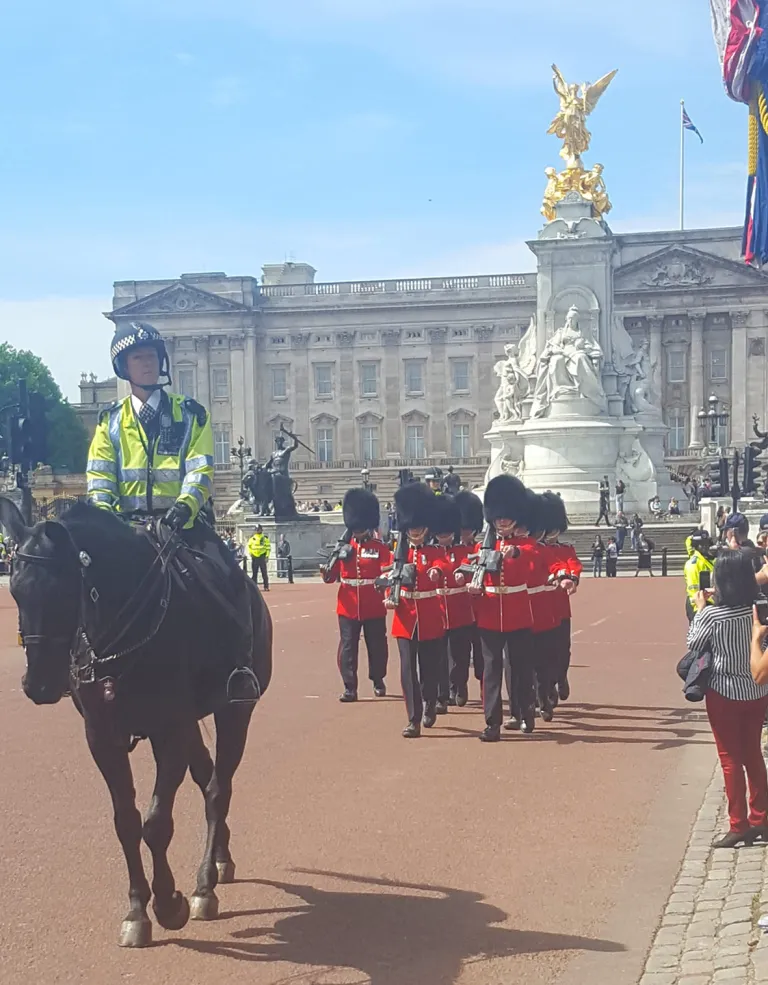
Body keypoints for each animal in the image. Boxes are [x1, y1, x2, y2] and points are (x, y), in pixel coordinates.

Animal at [0, 500, 274, 944]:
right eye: (15, 591)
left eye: (64, 590)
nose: (39, 684)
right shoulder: (102, 737)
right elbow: (126, 822)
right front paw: (136, 910)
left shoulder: (170, 731)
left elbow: (156, 822)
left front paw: (168, 904)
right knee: (208, 779)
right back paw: (220, 858)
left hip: (235, 709)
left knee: (219, 789)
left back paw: (204, 885)